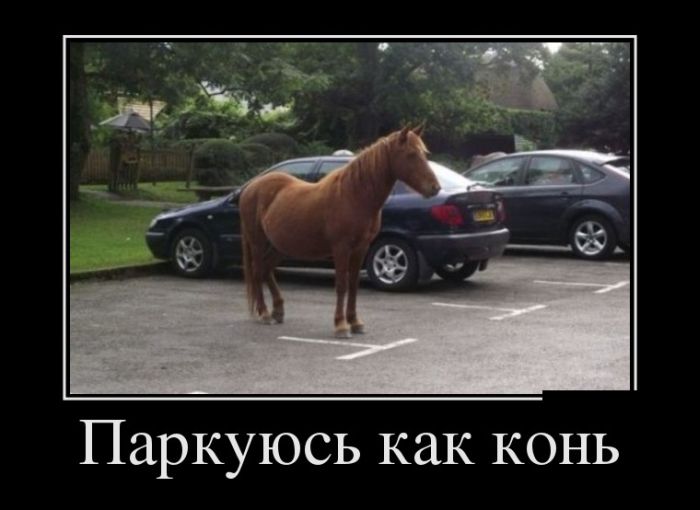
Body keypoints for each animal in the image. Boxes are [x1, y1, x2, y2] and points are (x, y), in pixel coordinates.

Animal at [239, 126, 441, 338]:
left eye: (424, 153)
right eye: (411, 155)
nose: (435, 187)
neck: (354, 195)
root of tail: (250, 187)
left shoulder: (361, 248)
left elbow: (353, 285)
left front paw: (355, 322)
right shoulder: (341, 248)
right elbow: (342, 285)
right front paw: (341, 325)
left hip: (278, 246)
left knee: (266, 270)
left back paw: (278, 311)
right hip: (258, 243)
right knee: (258, 271)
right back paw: (264, 314)